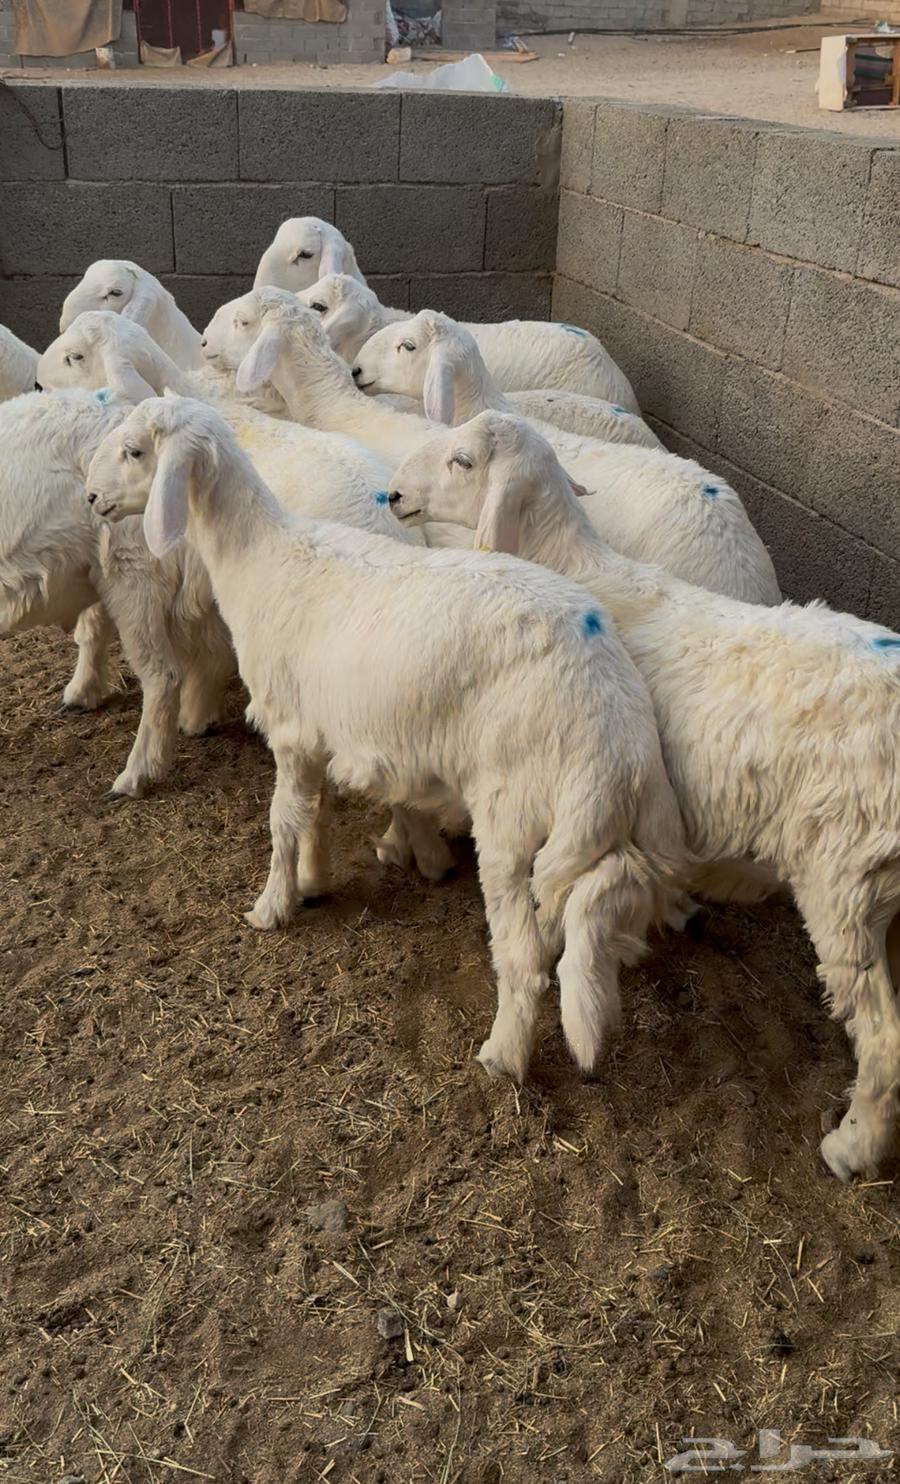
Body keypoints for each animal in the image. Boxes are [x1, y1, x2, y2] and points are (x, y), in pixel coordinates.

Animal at [86, 392, 689, 1083]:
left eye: (135, 451)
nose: (91, 498)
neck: (260, 559)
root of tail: (617, 734)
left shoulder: (289, 728)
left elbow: (283, 819)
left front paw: (270, 907)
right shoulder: (319, 730)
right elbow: (315, 810)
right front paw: (314, 882)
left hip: (514, 817)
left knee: (525, 957)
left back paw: (503, 1057)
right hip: (610, 835)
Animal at [388, 410, 900, 1179]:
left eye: (462, 460)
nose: (391, 495)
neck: (571, 566)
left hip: (845, 885)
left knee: (884, 1041)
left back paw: (851, 1146)